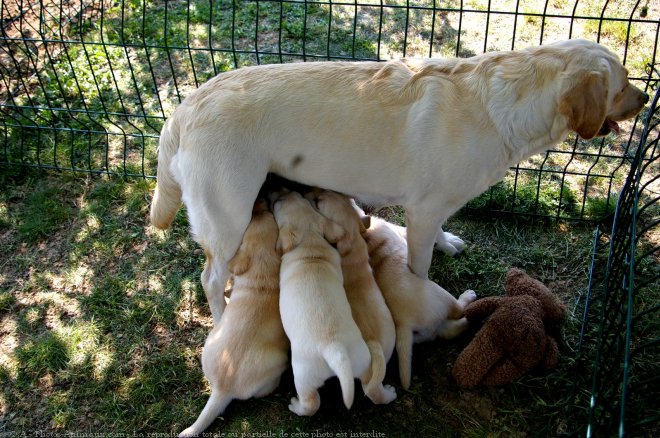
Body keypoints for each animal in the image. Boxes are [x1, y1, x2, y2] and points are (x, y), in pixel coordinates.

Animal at [148, 39, 644, 324]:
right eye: (621, 86)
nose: (645, 98)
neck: (503, 106)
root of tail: (186, 105)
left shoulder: (432, 208)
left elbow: (440, 231)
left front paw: (449, 242)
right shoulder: (422, 210)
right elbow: (419, 266)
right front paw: (423, 292)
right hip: (227, 214)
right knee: (209, 277)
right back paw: (220, 319)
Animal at [270, 192, 372, 418]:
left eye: (278, 203)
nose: (284, 190)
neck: (310, 239)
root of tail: (335, 350)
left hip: (303, 373)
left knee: (311, 403)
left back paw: (295, 405)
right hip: (361, 359)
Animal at [364, 212, 476, 390]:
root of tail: (404, 323)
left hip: (428, 330)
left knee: (449, 331)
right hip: (441, 296)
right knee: (458, 310)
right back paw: (469, 298)